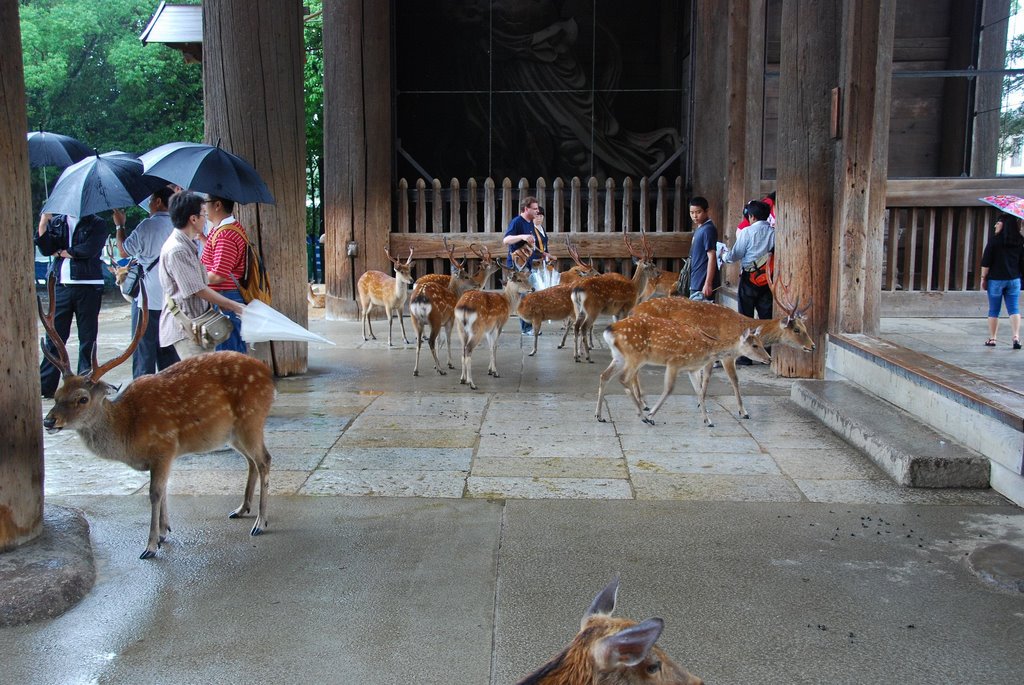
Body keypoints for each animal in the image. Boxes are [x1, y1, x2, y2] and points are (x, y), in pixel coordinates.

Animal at [37, 274, 276, 557]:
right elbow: (163, 491)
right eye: (57, 393)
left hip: (251, 420)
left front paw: (150, 545)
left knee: (264, 460)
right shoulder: (165, 455)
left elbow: (154, 493)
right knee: (251, 461)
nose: (48, 420)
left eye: (82, 398)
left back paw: (260, 522)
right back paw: (241, 509)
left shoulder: (163, 446)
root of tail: (268, 375)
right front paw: (164, 532)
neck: (128, 428)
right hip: (232, 432)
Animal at [569, 232, 663, 362]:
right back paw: (588, 357)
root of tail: (577, 290)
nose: (659, 273)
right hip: (592, 308)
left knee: (576, 326)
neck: (635, 288)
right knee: (584, 327)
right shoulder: (626, 307)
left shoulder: (616, 312)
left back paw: (576, 356)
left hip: (578, 309)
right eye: (652, 265)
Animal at [626, 270, 811, 419]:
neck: (740, 325)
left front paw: (702, 404)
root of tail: (633, 311)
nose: (812, 346)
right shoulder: (727, 356)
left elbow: (707, 377)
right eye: (796, 329)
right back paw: (643, 404)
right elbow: (734, 380)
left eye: (805, 327)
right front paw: (743, 412)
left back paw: (643, 403)